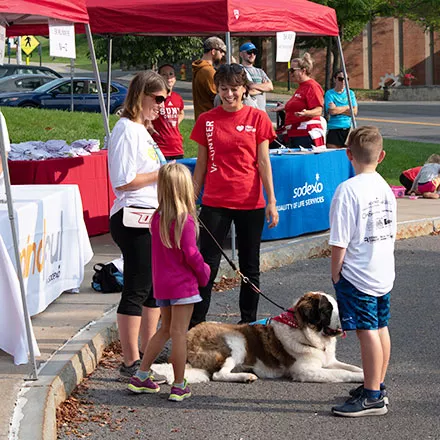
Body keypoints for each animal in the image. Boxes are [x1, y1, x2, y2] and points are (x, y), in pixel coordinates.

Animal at [151, 292, 364, 384]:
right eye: (327, 310)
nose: (349, 318)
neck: (302, 329)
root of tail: (189, 335)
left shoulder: (329, 361)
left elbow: (351, 367)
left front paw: (364, 373)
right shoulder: (306, 371)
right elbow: (341, 374)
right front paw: (359, 379)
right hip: (237, 340)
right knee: (218, 375)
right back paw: (246, 377)